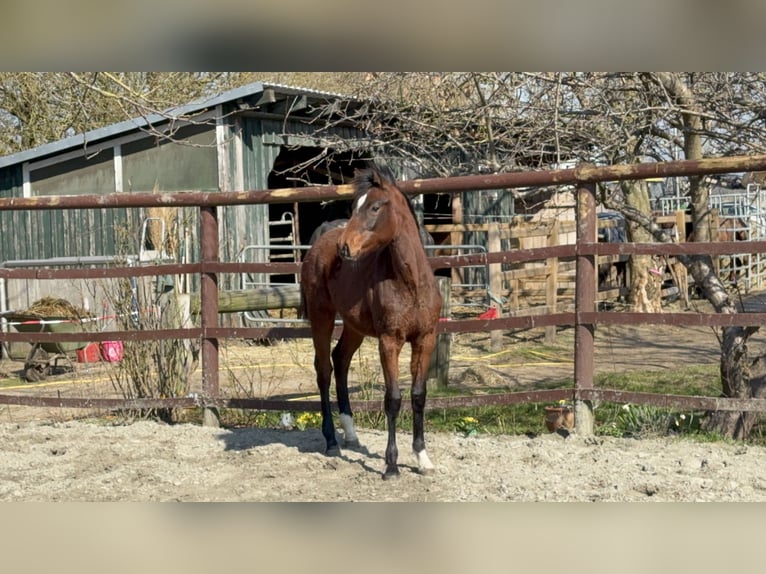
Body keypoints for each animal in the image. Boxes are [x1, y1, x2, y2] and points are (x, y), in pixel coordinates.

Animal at [299, 165, 442, 479]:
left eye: (375, 207)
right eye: (354, 207)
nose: (345, 247)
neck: (411, 283)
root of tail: (319, 242)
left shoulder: (425, 339)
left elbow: (418, 395)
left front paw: (423, 459)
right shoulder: (389, 342)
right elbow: (393, 399)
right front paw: (391, 466)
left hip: (354, 327)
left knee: (340, 359)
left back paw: (351, 434)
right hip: (321, 316)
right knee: (324, 370)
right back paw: (331, 441)